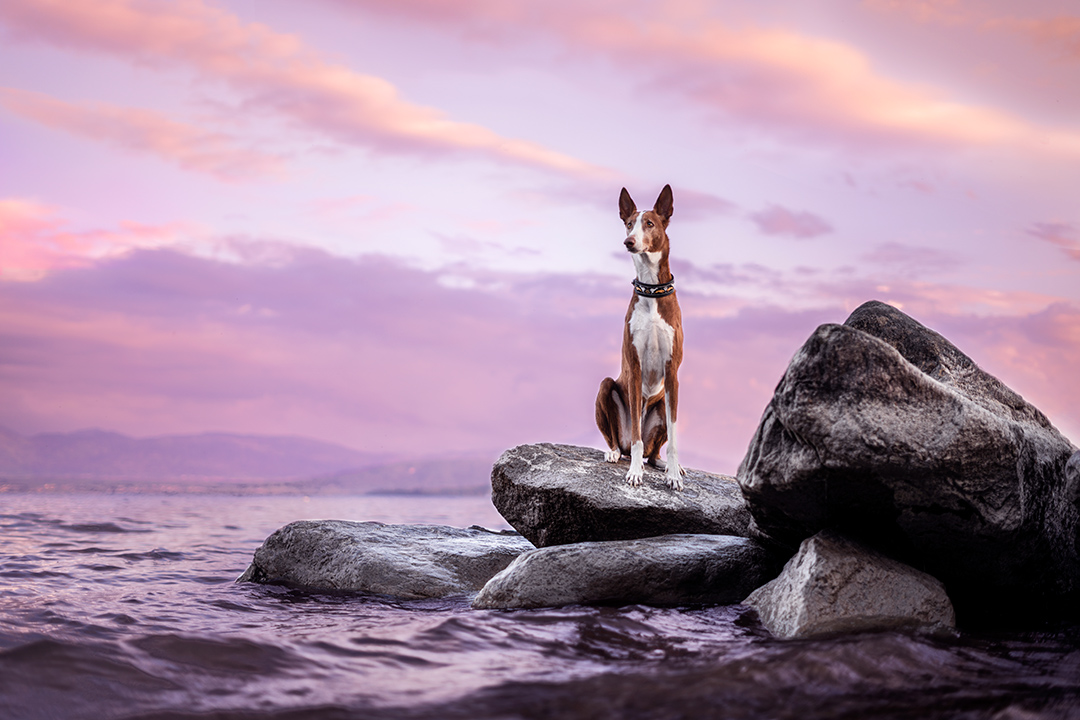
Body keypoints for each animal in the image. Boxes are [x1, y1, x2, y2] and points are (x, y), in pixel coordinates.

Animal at [596, 185, 686, 490]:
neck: (651, 290)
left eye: (649, 223)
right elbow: (635, 435)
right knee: (621, 441)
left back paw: (665, 464)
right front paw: (635, 472)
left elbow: (674, 437)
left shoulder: (672, 373)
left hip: (663, 406)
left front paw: (673, 475)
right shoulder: (634, 368)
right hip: (606, 386)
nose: (629, 242)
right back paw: (613, 453)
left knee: (655, 450)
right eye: (628, 223)